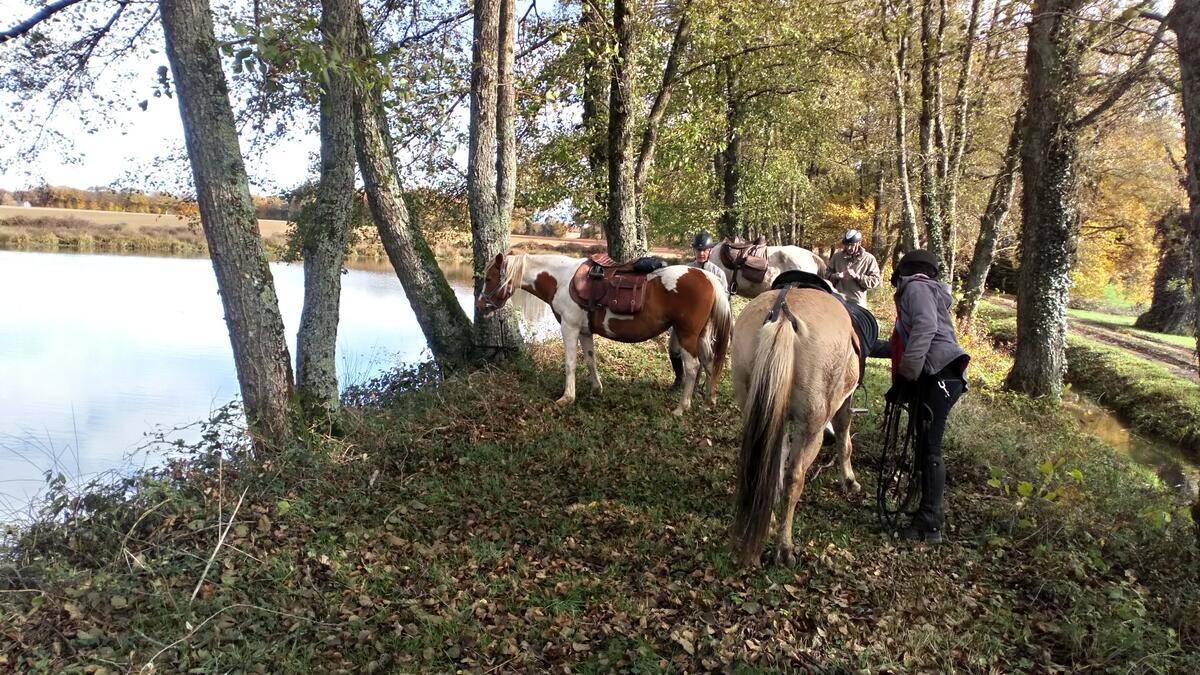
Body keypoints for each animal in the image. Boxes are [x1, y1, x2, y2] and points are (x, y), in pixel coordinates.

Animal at [477, 251, 729, 413]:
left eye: (489, 278)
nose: (479, 306)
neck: (562, 280)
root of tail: (707, 276)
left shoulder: (569, 328)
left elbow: (570, 364)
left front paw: (567, 397)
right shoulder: (584, 331)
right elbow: (590, 360)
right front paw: (596, 389)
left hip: (687, 335)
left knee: (693, 367)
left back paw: (681, 408)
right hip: (702, 335)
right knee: (708, 363)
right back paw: (709, 401)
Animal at [724, 285, 859, 564]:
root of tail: (783, 314)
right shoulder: (843, 404)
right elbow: (845, 440)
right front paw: (850, 481)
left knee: (765, 467)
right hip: (811, 429)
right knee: (793, 479)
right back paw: (784, 547)